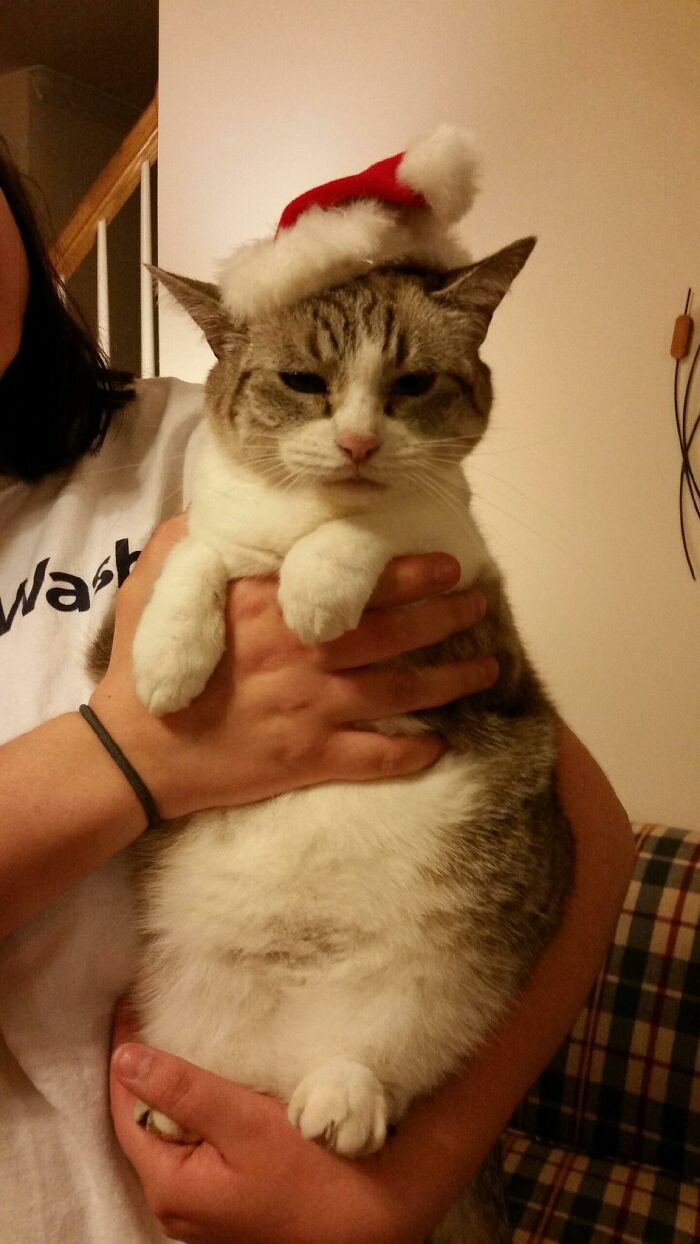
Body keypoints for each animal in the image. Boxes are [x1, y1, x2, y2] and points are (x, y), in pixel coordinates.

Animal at [124, 242, 574, 1244]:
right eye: (303, 382)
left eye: (411, 384)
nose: (362, 443)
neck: (296, 520)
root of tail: (274, 1064)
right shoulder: (200, 542)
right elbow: (198, 546)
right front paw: (169, 658)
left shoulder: (480, 617)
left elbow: (385, 522)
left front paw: (318, 588)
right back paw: (175, 1102)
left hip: (466, 960)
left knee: (399, 1054)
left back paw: (343, 1097)